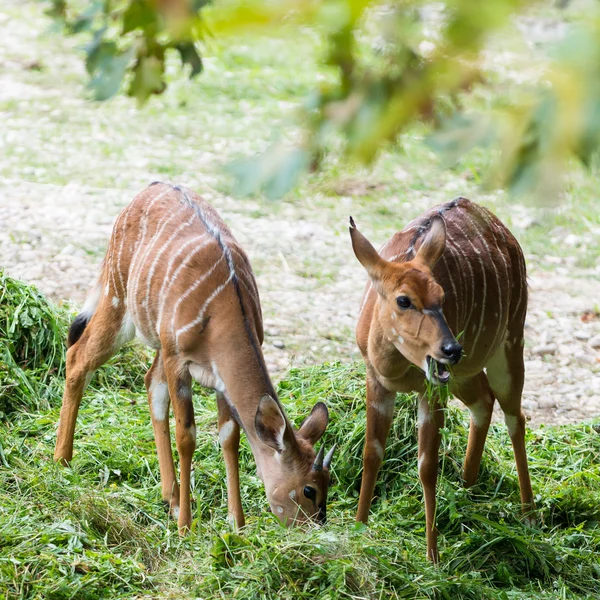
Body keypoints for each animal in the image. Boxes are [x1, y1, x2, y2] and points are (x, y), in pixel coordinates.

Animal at [54, 182, 336, 528]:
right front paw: (186, 527)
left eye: (329, 483)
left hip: (157, 338)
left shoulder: (219, 378)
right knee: (77, 355)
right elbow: (186, 435)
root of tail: (148, 188)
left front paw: (236, 523)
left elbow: (229, 436)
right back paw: (61, 461)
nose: (316, 526)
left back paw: (170, 497)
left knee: (151, 382)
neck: (225, 313)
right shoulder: (180, 359)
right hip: (119, 303)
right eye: (308, 489)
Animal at [352, 198, 536, 564]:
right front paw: (358, 528)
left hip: (509, 346)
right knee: (484, 402)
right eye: (403, 299)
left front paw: (433, 555)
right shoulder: (377, 381)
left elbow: (427, 465)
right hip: (465, 374)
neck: (397, 368)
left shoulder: (432, 389)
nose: (451, 349)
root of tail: (507, 236)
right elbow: (371, 453)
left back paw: (528, 514)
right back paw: (467, 486)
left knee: (515, 417)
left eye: (442, 295)